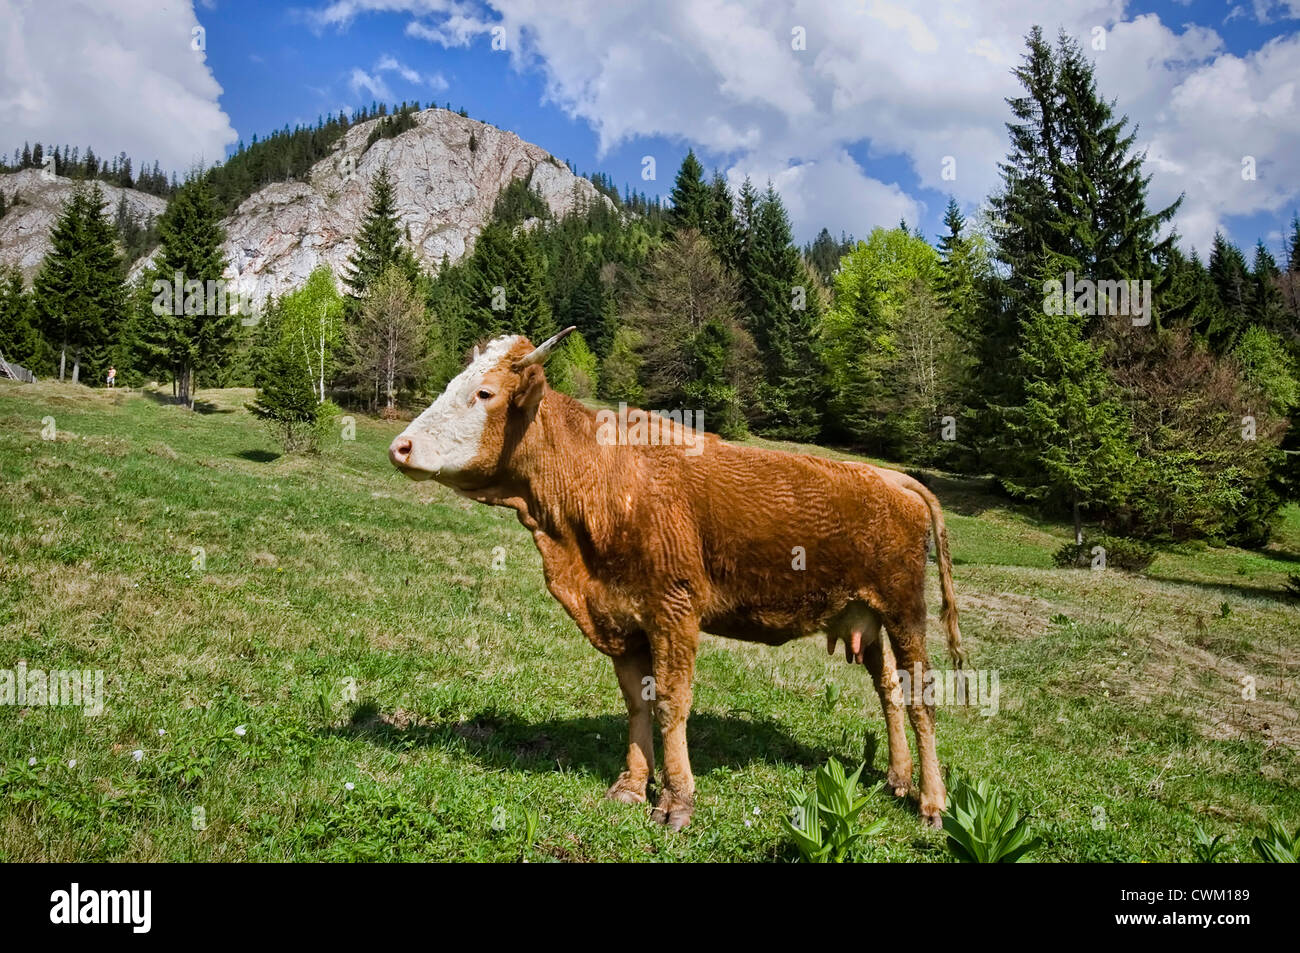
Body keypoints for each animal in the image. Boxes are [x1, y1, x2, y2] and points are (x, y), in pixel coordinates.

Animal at [384, 327, 967, 826]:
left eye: (483, 393)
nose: (400, 446)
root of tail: (889, 477)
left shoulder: (674, 609)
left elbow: (671, 701)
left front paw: (677, 800)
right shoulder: (620, 618)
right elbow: (637, 701)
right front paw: (630, 785)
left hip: (905, 608)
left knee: (921, 697)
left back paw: (931, 802)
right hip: (865, 615)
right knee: (889, 690)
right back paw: (897, 777)